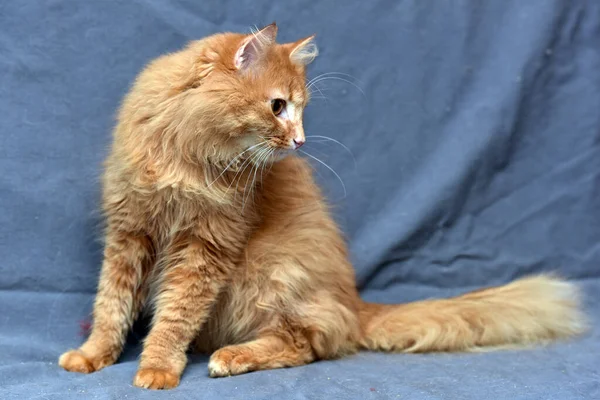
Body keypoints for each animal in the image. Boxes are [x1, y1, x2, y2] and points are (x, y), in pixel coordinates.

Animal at [58, 23, 584, 390]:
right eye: (277, 107)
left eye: (301, 109)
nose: (300, 141)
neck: (183, 151)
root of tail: (355, 303)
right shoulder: (130, 230)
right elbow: (112, 303)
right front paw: (94, 354)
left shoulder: (205, 245)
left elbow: (174, 315)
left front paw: (157, 367)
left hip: (271, 272)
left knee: (305, 344)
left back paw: (232, 357)